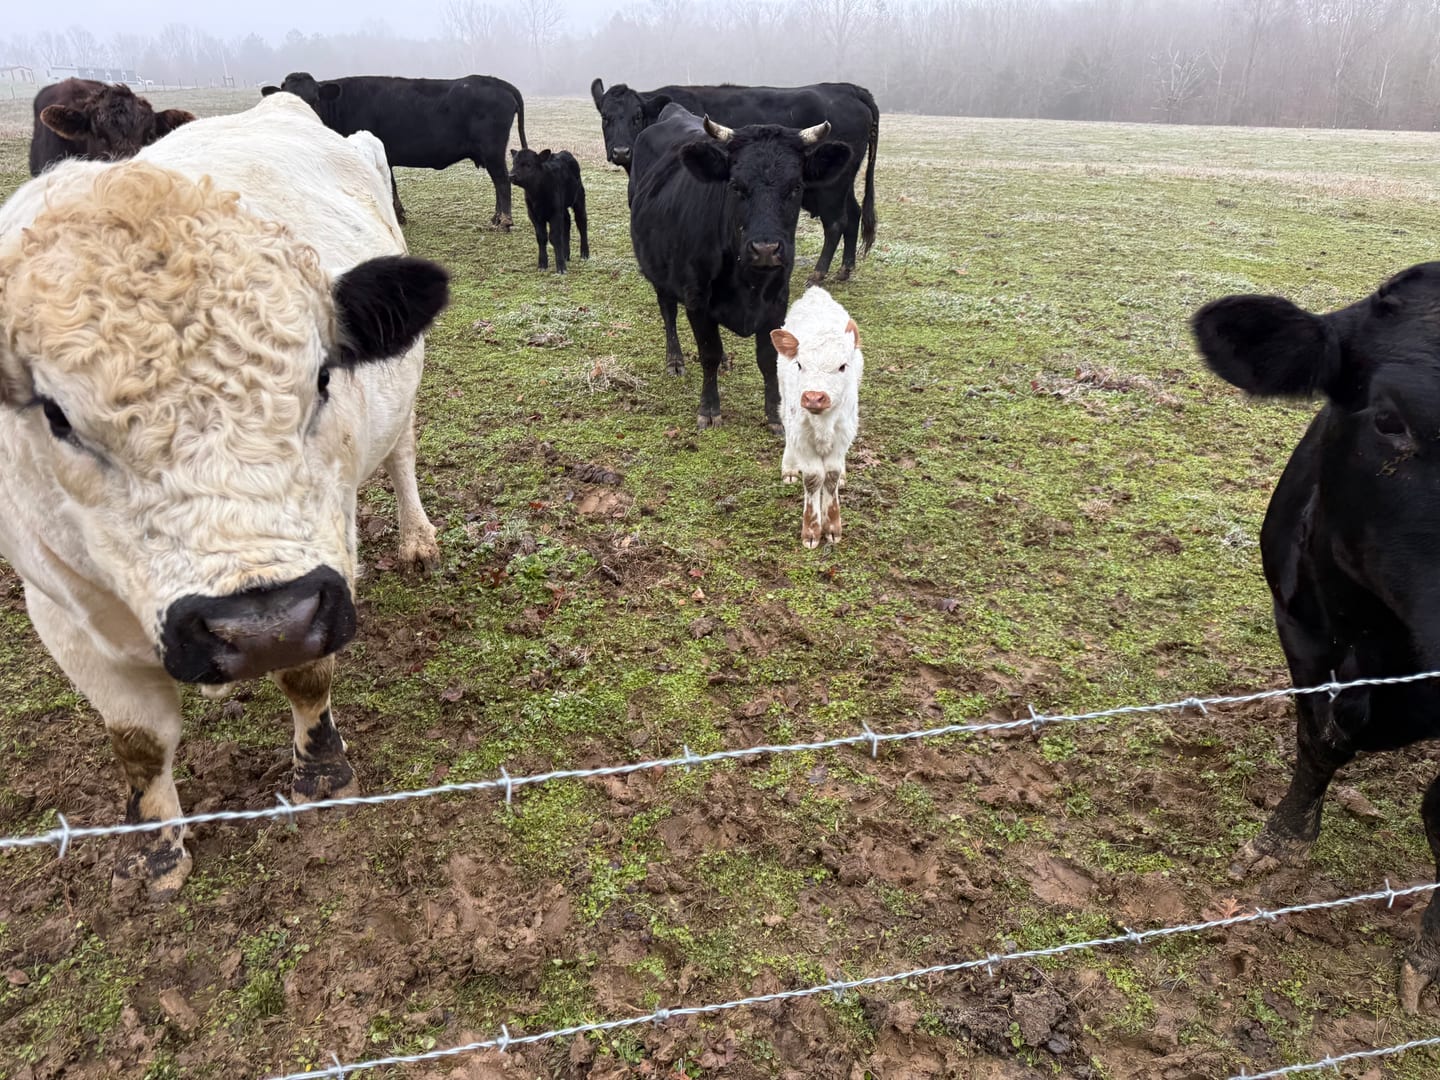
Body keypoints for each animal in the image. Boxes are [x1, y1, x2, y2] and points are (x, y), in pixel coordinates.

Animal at [0, 91, 449, 901]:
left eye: (323, 376)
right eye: (56, 415)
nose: (261, 626)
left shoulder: (324, 556)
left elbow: (308, 673)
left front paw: (322, 773)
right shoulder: (58, 607)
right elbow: (139, 742)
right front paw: (153, 851)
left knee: (401, 452)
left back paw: (417, 538)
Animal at [262, 72, 527, 229]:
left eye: (314, 99)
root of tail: (496, 81)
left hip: (492, 151)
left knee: (502, 181)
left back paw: (504, 221)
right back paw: (496, 218)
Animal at [591, 78, 878, 285]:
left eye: (637, 116)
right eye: (605, 117)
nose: (621, 152)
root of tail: (848, 88)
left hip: (831, 189)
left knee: (836, 223)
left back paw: (819, 273)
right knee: (853, 214)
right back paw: (845, 269)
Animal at [627, 104, 851, 433]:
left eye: (796, 186)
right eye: (735, 186)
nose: (766, 249)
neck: (748, 282)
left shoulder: (777, 303)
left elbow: (768, 358)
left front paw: (774, 415)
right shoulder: (697, 300)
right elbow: (708, 352)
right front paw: (709, 409)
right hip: (659, 273)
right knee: (668, 313)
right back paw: (675, 360)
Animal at [774, 288, 863, 548]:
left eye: (842, 366)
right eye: (799, 364)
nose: (814, 397)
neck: (822, 424)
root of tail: (816, 293)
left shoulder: (844, 432)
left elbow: (831, 476)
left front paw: (832, 527)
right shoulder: (801, 434)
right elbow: (814, 478)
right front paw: (812, 531)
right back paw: (790, 467)